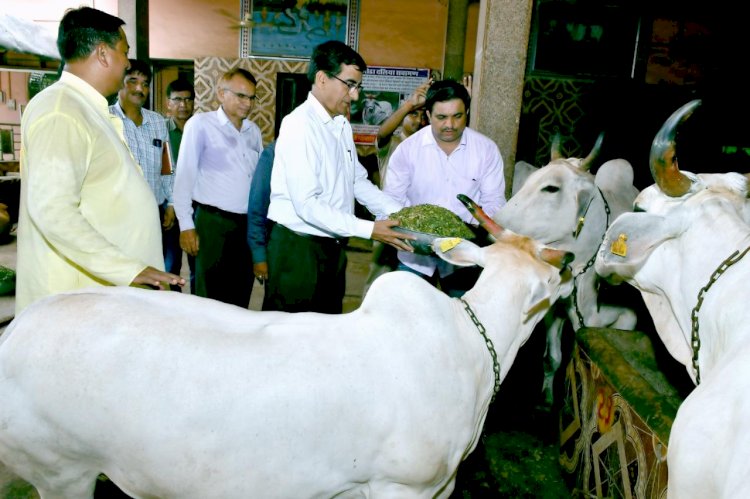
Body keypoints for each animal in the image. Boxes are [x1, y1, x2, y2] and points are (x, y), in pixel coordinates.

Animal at [494, 137, 640, 406]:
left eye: (551, 188)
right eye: (530, 180)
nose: (494, 222)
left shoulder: (628, 319)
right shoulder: (555, 308)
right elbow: (551, 358)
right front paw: (547, 398)